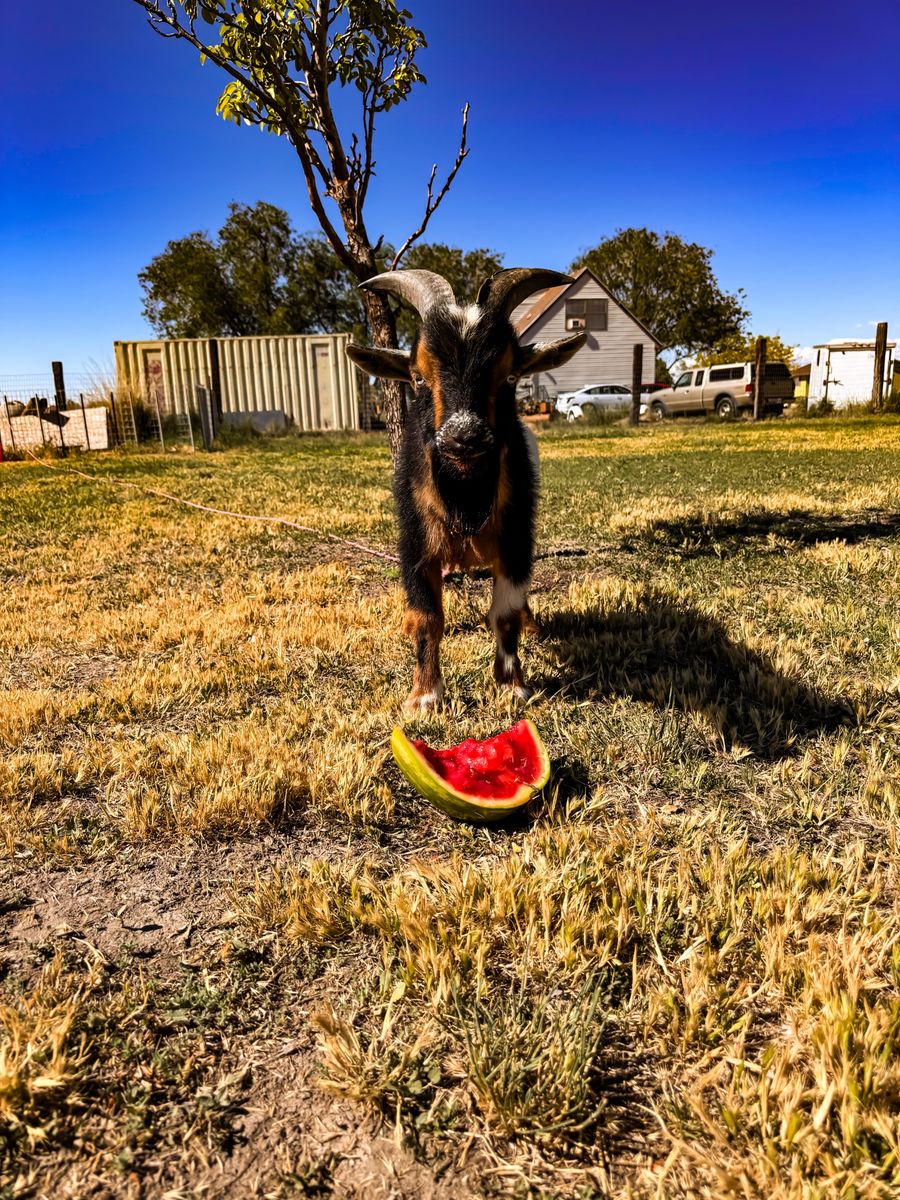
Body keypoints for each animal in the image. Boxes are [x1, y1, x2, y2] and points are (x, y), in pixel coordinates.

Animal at [346, 268, 585, 709]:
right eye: (417, 377)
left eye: (511, 375)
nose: (464, 436)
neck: (465, 492)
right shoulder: (416, 547)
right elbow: (427, 618)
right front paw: (424, 696)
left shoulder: (515, 543)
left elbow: (505, 614)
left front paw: (512, 685)